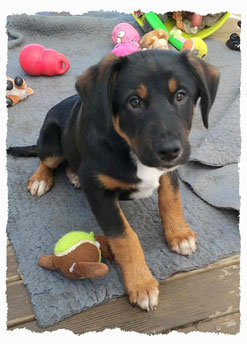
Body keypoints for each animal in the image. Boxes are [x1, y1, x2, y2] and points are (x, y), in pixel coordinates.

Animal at [7, 49, 220, 312]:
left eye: (181, 96)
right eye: (134, 102)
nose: (170, 150)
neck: (128, 147)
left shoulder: (169, 171)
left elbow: (171, 199)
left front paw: (179, 235)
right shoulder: (98, 191)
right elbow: (124, 236)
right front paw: (141, 283)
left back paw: (73, 174)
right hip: (51, 139)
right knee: (46, 159)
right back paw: (40, 179)